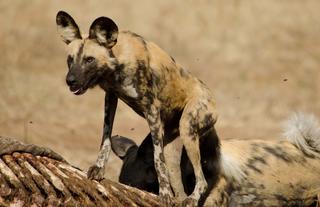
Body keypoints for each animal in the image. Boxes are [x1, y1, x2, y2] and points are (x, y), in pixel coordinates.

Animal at [56, 10, 219, 205]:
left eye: (89, 60)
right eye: (70, 59)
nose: (70, 80)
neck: (118, 60)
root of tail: (212, 99)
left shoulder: (152, 111)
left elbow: (157, 161)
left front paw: (164, 193)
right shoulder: (110, 98)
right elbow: (106, 138)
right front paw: (99, 168)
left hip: (187, 129)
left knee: (201, 180)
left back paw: (192, 199)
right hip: (173, 149)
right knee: (180, 185)